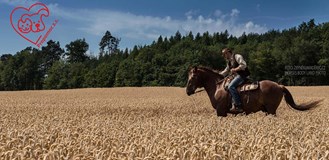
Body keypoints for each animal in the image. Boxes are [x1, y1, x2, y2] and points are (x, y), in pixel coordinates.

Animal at [186, 65, 322, 117]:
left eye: (192, 77)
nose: (187, 91)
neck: (217, 87)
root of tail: (279, 86)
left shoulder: (221, 112)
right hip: (267, 110)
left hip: (271, 110)